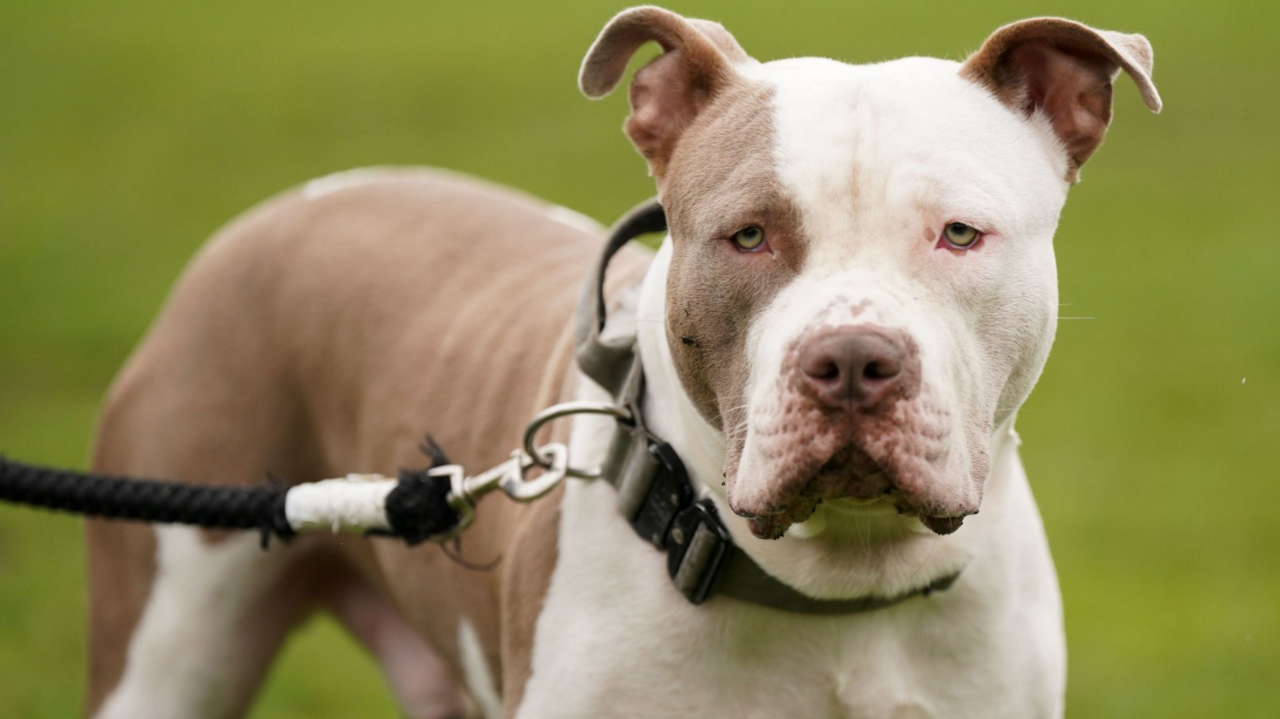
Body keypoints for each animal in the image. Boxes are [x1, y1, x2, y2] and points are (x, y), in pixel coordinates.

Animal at [80, 6, 1162, 716]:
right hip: (166, 640)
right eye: (747, 236)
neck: (839, 586)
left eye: (958, 234)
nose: (853, 360)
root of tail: (288, 205)